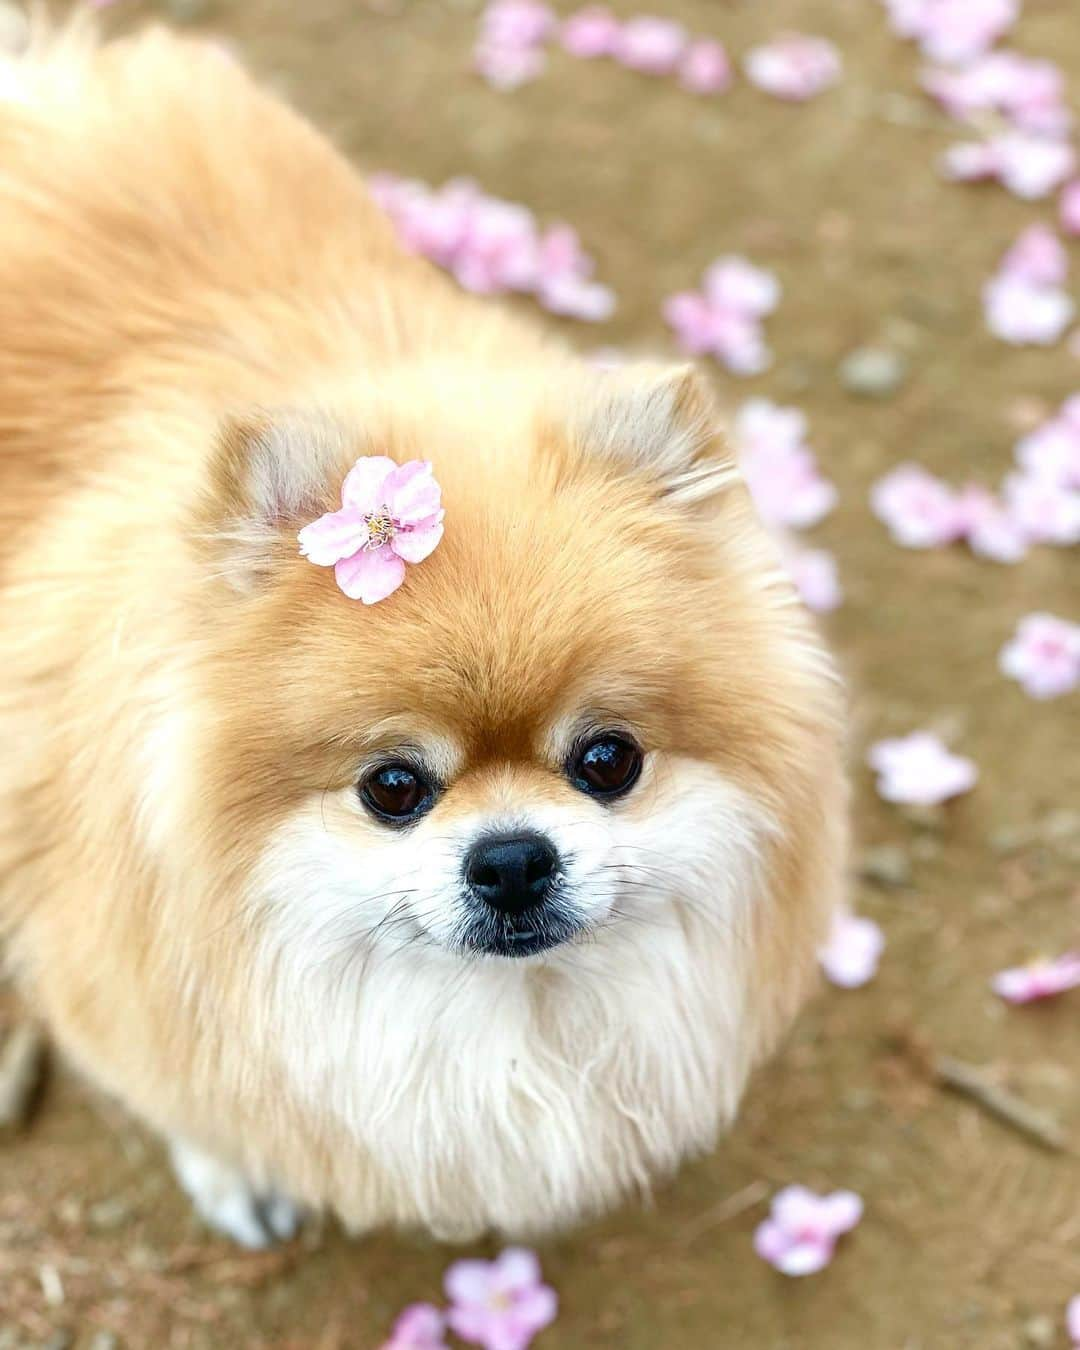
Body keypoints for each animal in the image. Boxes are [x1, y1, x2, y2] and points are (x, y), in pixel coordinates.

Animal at [0, 23, 847, 1242]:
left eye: (609, 761)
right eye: (391, 788)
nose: (512, 860)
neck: (502, 1015)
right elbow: (189, 1090)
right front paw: (240, 1168)